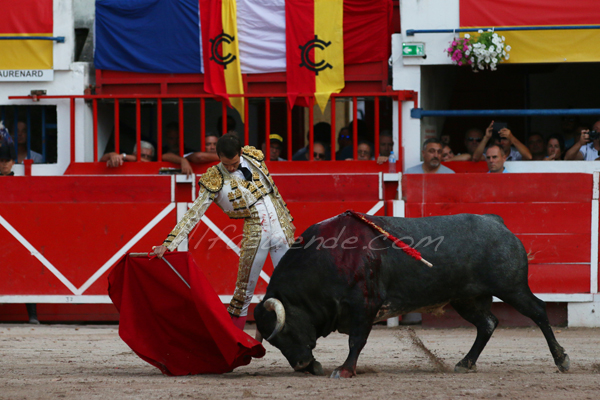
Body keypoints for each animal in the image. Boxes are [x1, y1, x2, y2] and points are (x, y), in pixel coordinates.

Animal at [254, 212, 572, 378]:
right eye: (274, 342)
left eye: (285, 332)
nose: (301, 365)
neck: (330, 258)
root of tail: (497, 222)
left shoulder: (364, 305)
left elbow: (356, 340)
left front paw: (344, 370)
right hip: (466, 299)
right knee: (488, 323)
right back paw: (465, 363)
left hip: (512, 288)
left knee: (539, 312)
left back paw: (561, 360)